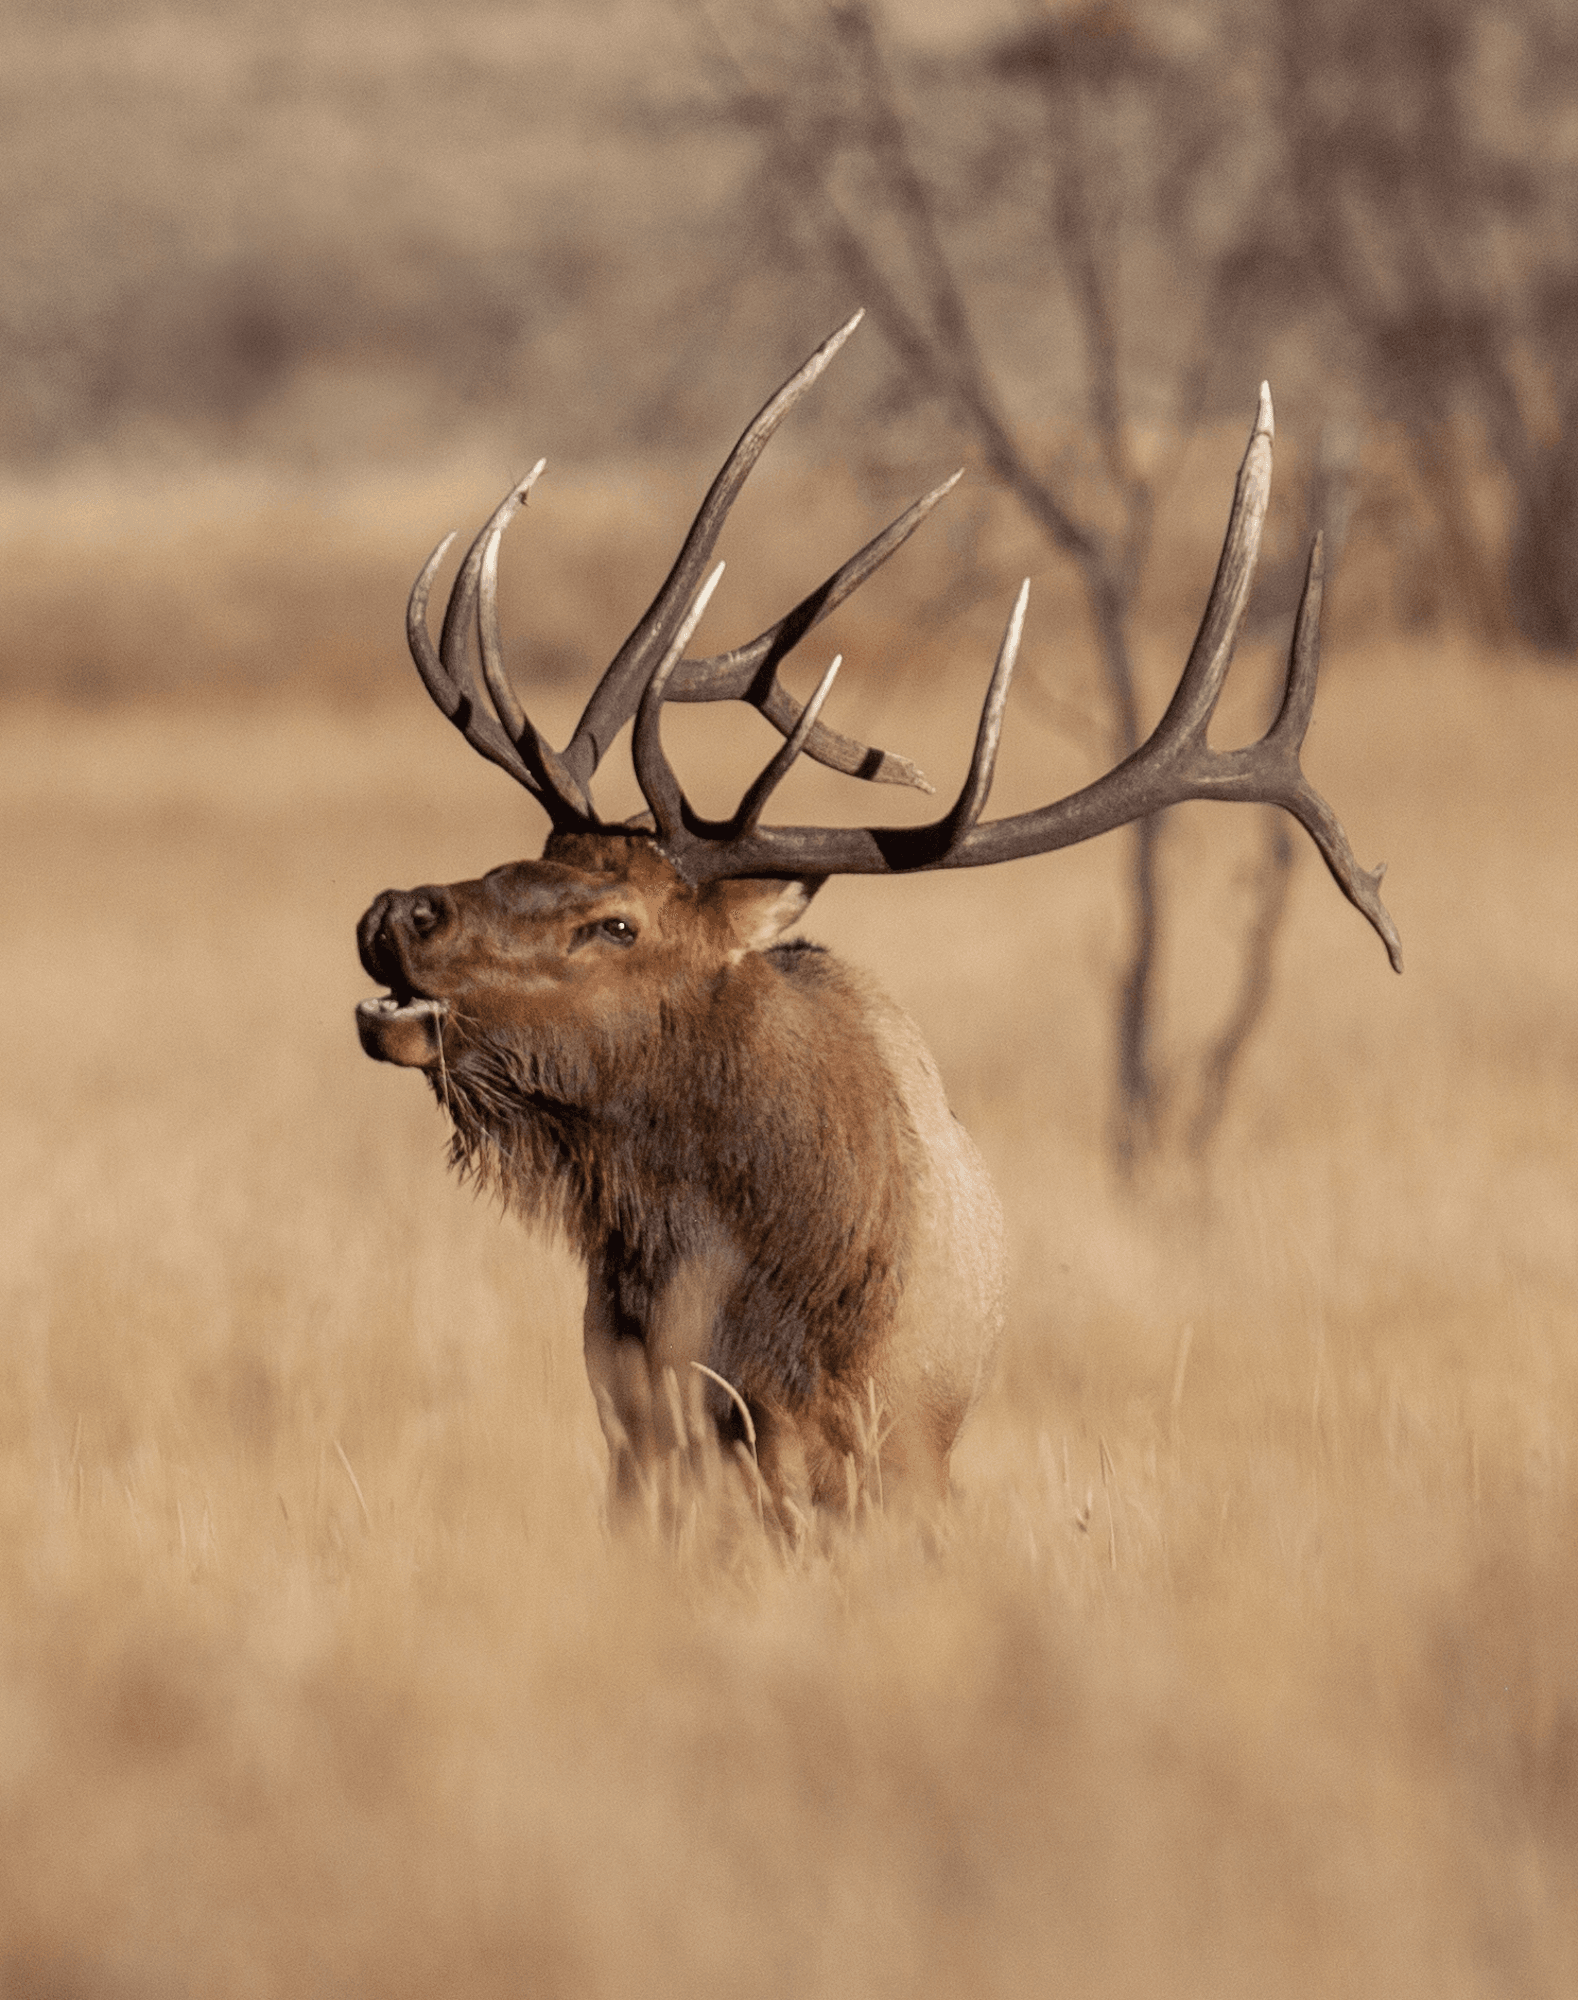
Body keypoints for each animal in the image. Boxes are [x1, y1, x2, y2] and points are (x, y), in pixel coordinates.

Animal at [356, 312, 1400, 1525]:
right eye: (536, 852)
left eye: (616, 924)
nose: (397, 912)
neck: (763, 1298)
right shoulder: (644, 1443)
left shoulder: (896, 1455)